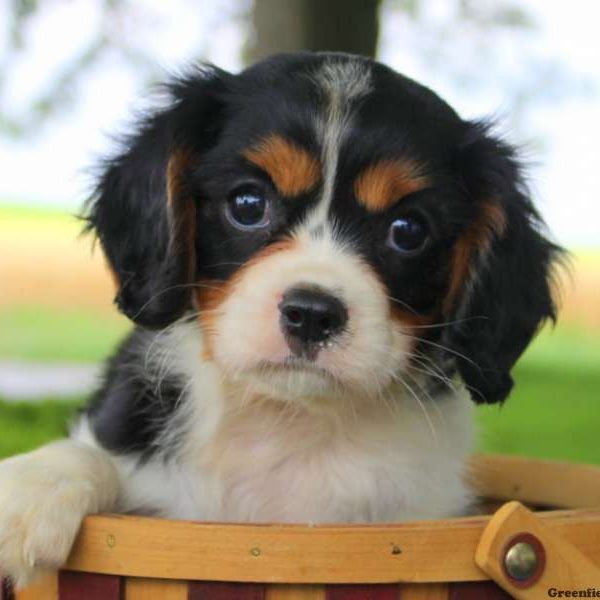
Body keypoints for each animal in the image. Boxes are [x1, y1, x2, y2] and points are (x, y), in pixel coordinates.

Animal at [1, 51, 564, 584]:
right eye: (248, 203)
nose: (312, 314)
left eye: (408, 230)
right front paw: (29, 492)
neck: (289, 421)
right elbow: (90, 454)